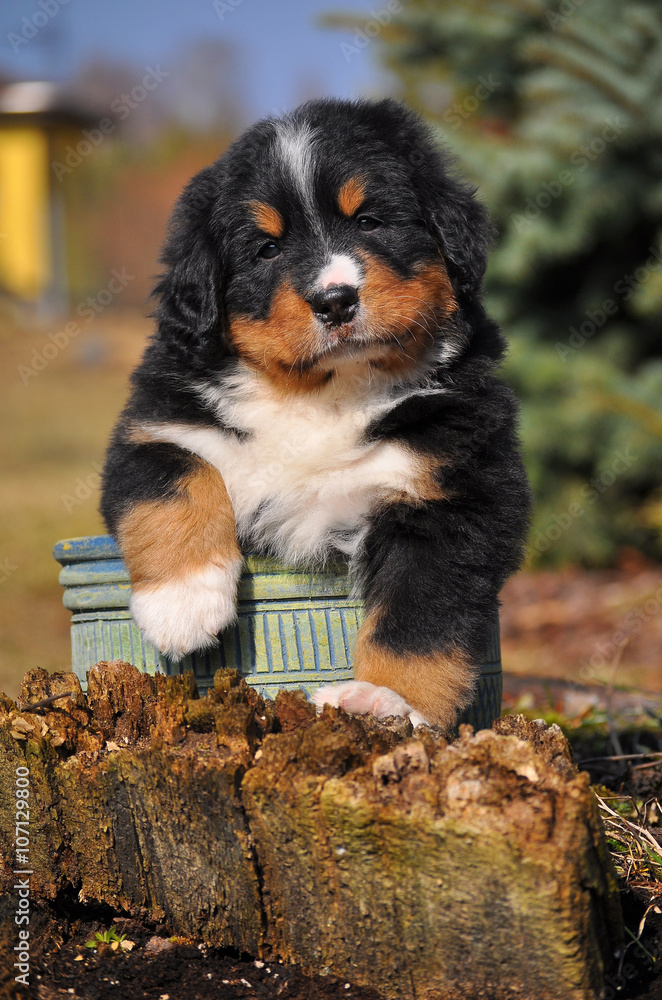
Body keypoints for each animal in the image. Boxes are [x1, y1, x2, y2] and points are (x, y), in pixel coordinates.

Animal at [100, 97, 536, 732]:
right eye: (267, 248)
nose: (335, 300)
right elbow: (175, 479)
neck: (323, 392)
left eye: (370, 222)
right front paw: (182, 606)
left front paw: (384, 699)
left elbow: (419, 613)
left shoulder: (455, 492)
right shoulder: (157, 423)